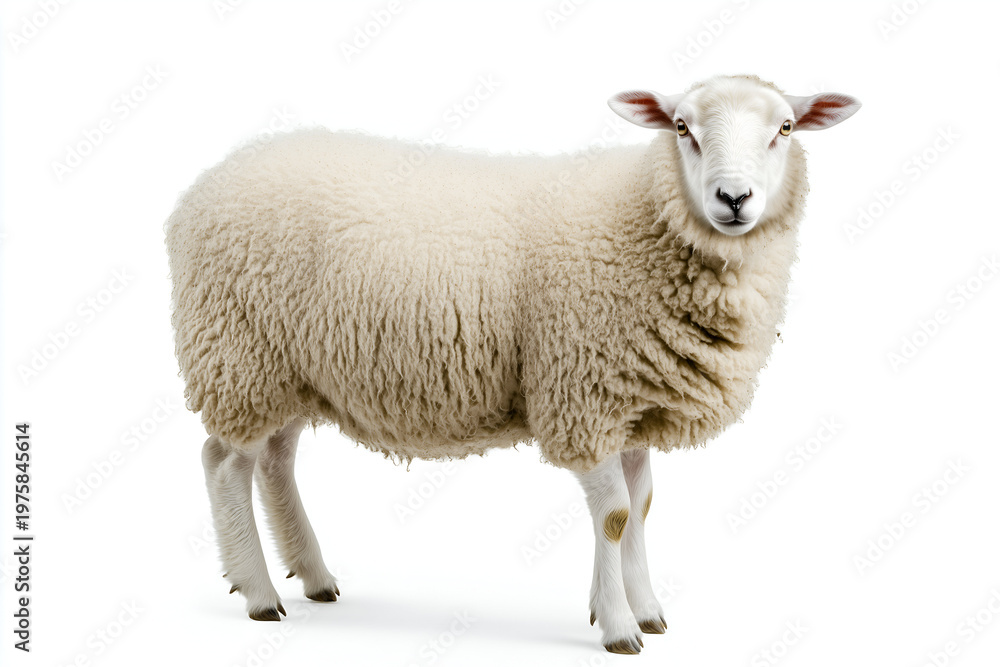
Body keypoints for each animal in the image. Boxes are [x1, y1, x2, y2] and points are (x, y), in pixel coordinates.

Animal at [165, 74, 860, 654]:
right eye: (682, 127)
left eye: (785, 128)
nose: (733, 197)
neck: (642, 225)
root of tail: (203, 187)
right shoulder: (582, 392)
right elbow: (613, 515)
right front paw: (618, 626)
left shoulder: (633, 401)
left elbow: (640, 506)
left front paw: (645, 608)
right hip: (238, 354)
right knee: (225, 464)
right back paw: (260, 593)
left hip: (291, 369)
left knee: (275, 461)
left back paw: (312, 575)